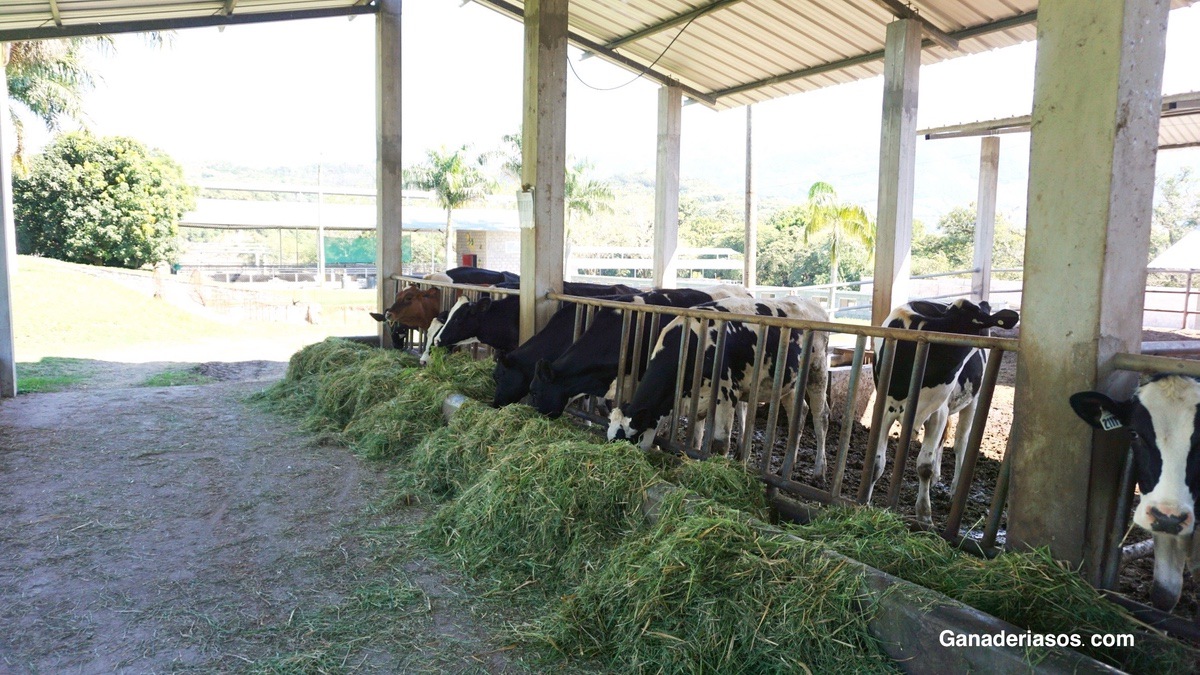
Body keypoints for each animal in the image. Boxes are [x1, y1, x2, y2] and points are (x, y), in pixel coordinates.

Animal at [604, 291, 830, 470]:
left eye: (628, 438)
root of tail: (815, 305)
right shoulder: (694, 399)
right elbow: (694, 440)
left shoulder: (727, 393)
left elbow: (719, 444)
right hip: (788, 384)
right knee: (799, 414)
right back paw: (787, 466)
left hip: (817, 372)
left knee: (821, 417)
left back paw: (820, 471)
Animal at [864, 296, 1022, 523]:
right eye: (979, 323)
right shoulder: (885, 408)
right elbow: (877, 464)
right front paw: (865, 501)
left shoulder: (937, 413)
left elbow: (924, 467)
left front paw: (924, 514)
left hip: (973, 402)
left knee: (960, 443)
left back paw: (955, 489)